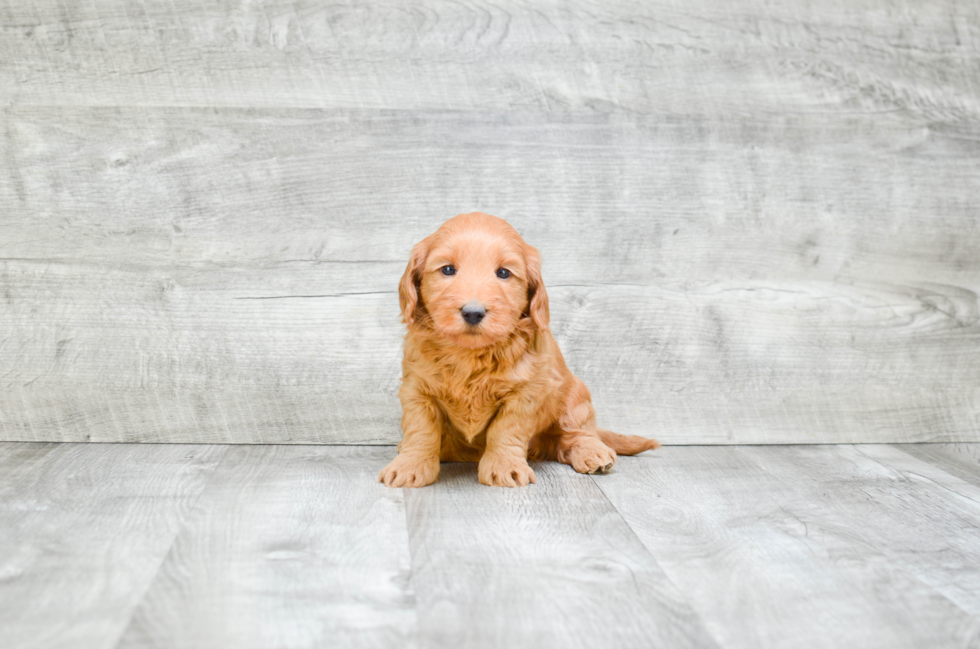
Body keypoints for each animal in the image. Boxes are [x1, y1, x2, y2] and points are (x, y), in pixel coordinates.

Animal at [378, 213, 664, 486]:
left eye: (504, 273)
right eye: (448, 269)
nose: (473, 312)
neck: (470, 353)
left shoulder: (525, 392)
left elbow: (506, 429)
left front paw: (504, 467)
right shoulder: (417, 389)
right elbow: (420, 429)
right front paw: (410, 466)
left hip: (575, 397)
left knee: (577, 432)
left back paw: (592, 451)